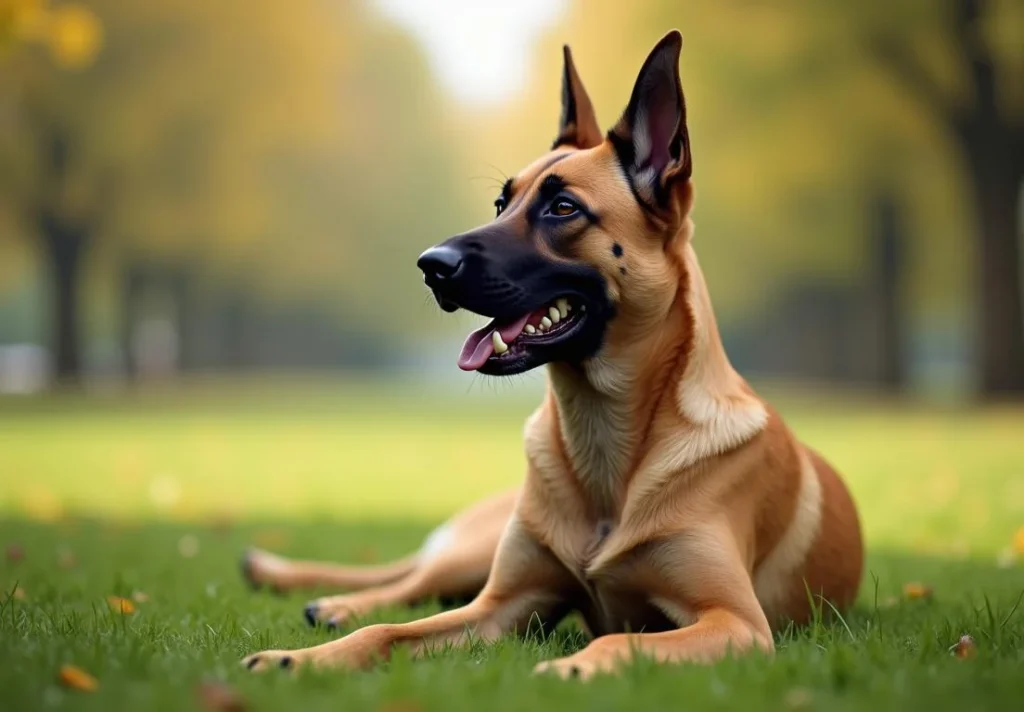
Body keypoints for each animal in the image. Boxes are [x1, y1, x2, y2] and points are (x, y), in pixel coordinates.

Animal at [241, 30, 864, 680]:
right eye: (500, 204)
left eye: (563, 208)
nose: (430, 265)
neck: (606, 447)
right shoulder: (502, 605)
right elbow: (387, 630)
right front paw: (296, 659)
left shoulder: (736, 621)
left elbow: (618, 641)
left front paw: (571, 668)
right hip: (476, 554)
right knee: (408, 579)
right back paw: (324, 597)